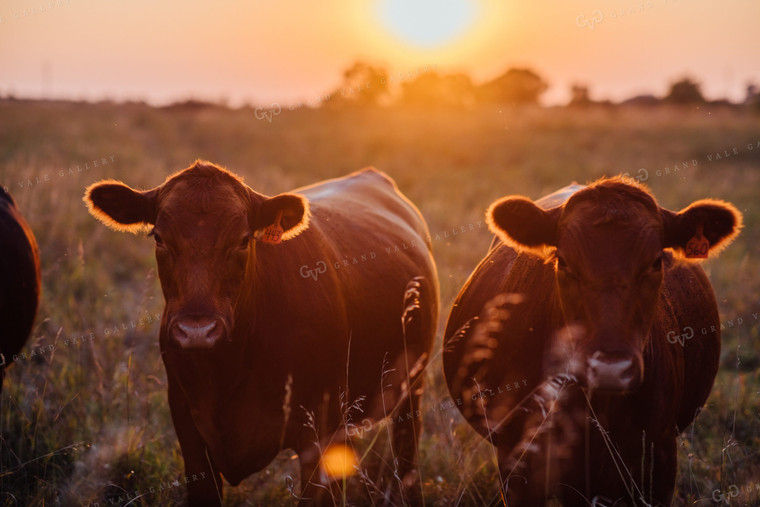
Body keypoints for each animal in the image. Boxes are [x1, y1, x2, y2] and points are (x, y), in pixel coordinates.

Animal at [83, 161, 440, 506]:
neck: (227, 371)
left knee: (407, 451)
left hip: (413, 383)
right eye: (158, 237)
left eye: (243, 240)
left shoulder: (320, 431)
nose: (197, 330)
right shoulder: (187, 424)